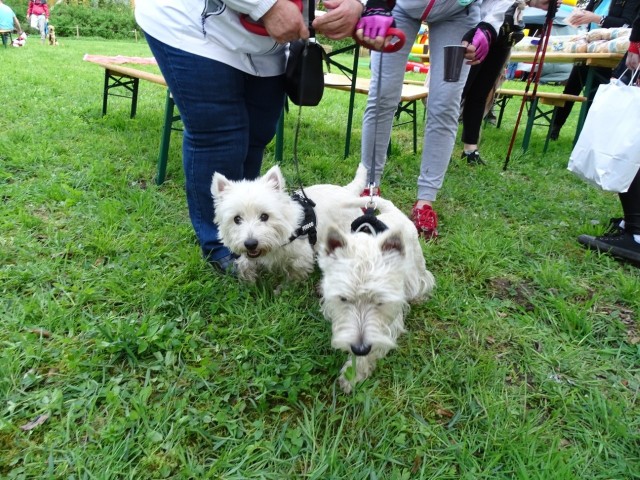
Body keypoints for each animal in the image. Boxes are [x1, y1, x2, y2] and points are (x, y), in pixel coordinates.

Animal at [211, 166, 368, 282]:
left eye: (264, 216)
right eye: (237, 219)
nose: (250, 244)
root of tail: (347, 191)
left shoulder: (301, 257)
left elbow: (294, 275)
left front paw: (283, 290)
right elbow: (245, 263)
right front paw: (249, 281)